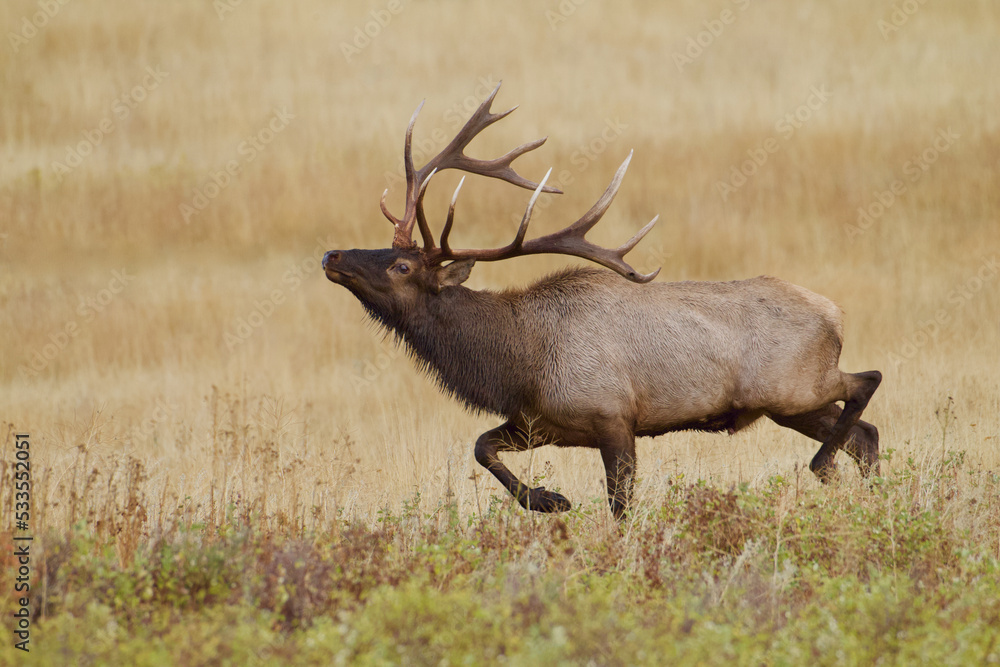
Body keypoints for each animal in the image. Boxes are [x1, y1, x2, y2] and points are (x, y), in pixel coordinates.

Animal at [324, 83, 880, 520]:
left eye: (402, 267)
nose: (332, 254)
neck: (517, 363)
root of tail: (835, 315)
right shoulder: (540, 423)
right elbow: (481, 447)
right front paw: (550, 500)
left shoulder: (613, 416)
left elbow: (620, 504)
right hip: (790, 403)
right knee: (865, 434)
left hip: (793, 385)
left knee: (865, 383)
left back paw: (823, 466)